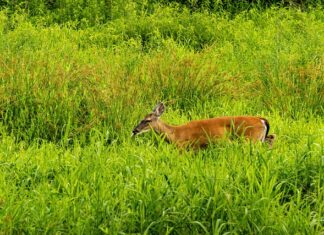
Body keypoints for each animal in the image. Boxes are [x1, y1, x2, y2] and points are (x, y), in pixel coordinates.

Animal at [132, 102, 276, 149]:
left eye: (147, 120)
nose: (134, 130)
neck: (175, 134)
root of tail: (261, 120)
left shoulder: (185, 148)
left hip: (250, 139)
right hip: (260, 138)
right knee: (272, 138)